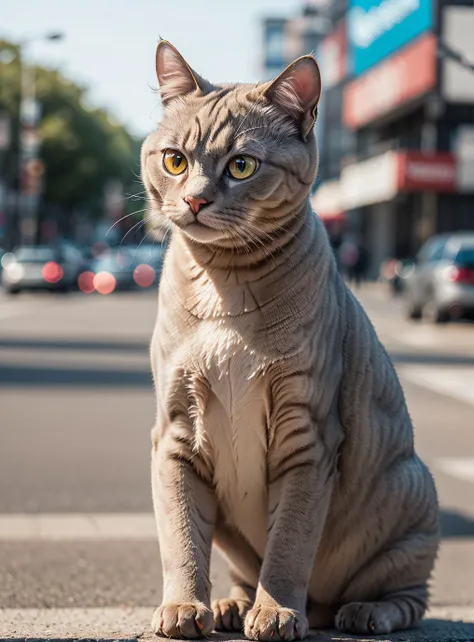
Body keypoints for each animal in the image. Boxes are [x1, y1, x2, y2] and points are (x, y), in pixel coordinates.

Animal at [142, 41, 440, 640]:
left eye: (241, 166)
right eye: (175, 160)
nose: (195, 201)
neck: (225, 289)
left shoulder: (308, 436)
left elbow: (289, 545)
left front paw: (277, 610)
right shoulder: (174, 435)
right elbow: (182, 538)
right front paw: (186, 605)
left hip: (411, 497)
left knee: (407, 595)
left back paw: (365, 612)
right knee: (239, 569)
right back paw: (231, 604)